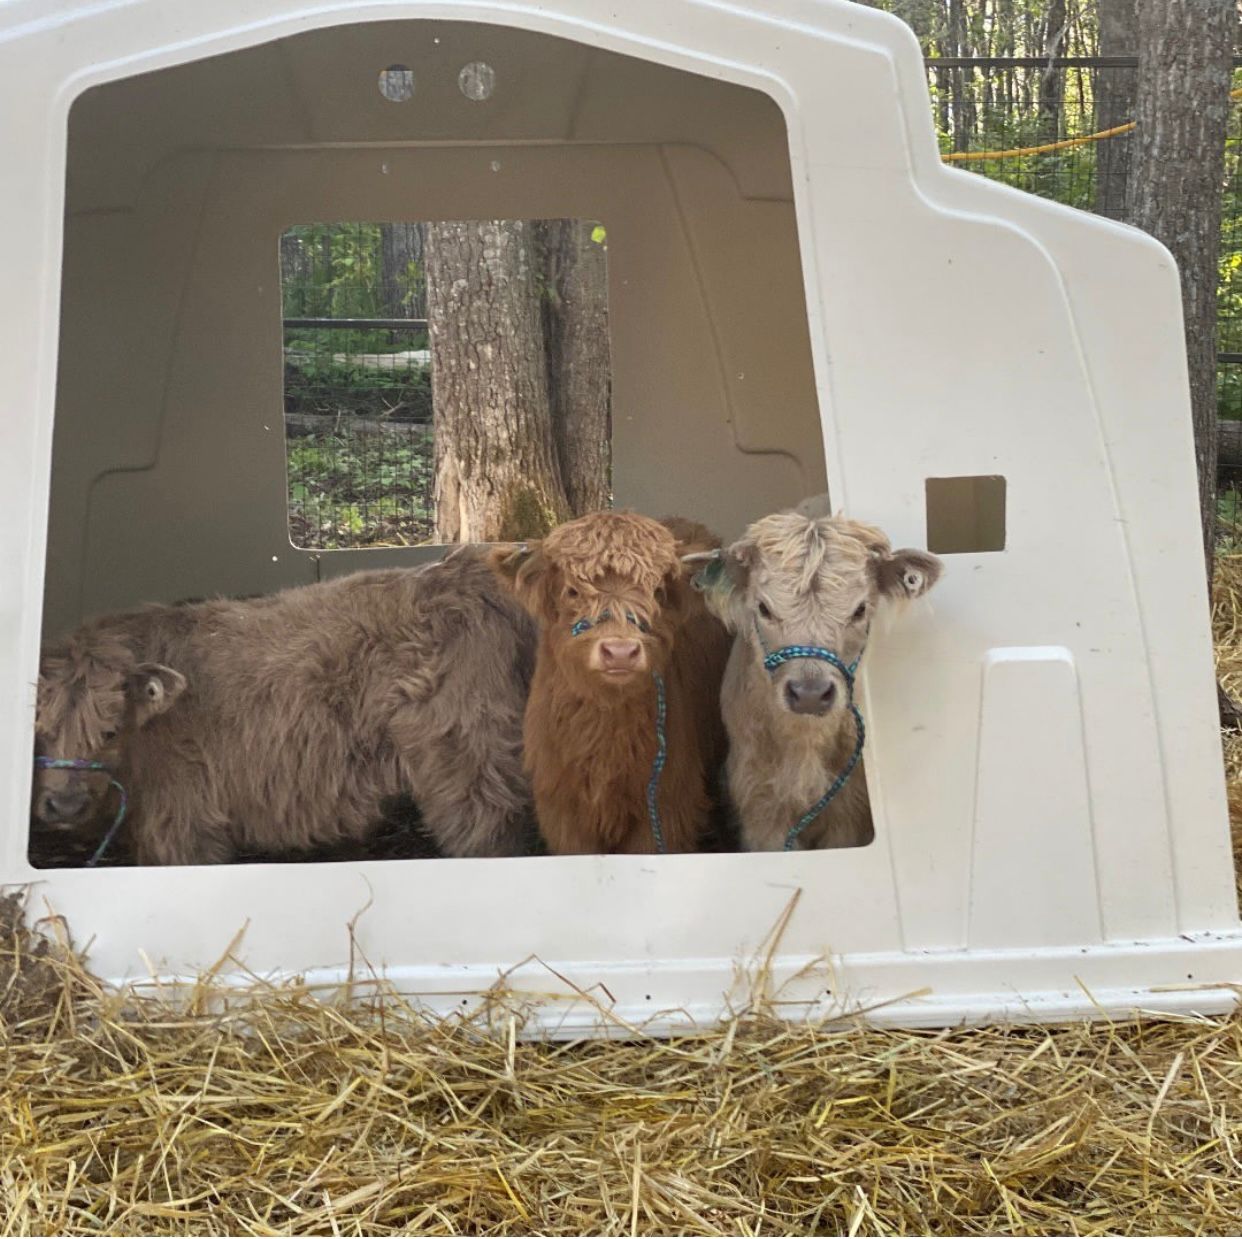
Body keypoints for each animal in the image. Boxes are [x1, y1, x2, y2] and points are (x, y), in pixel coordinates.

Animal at [32, 549, 537, 865]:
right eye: (39, 729)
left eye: (110, 729)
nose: (65, 804)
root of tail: (461, 573)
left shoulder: (183, 816)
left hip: (467, 759)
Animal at [699, 506, 943, 850]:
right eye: (763, 607)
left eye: (860, 609)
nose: (810, 694)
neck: (804, 743)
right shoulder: (761, 806)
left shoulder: (847, 810)